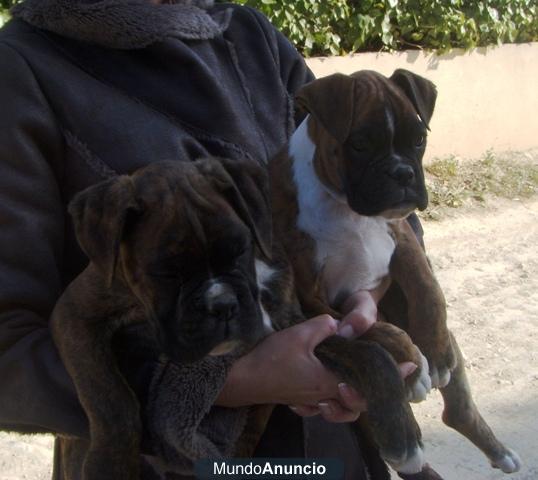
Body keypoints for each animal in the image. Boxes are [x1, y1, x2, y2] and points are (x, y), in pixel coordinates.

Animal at [51, 160, 272, 480]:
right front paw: (111, 463)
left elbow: (252, 425)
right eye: (168, 274)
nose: (222, 304)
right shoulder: (76, 315)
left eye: (241, 250)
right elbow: (110, 397)